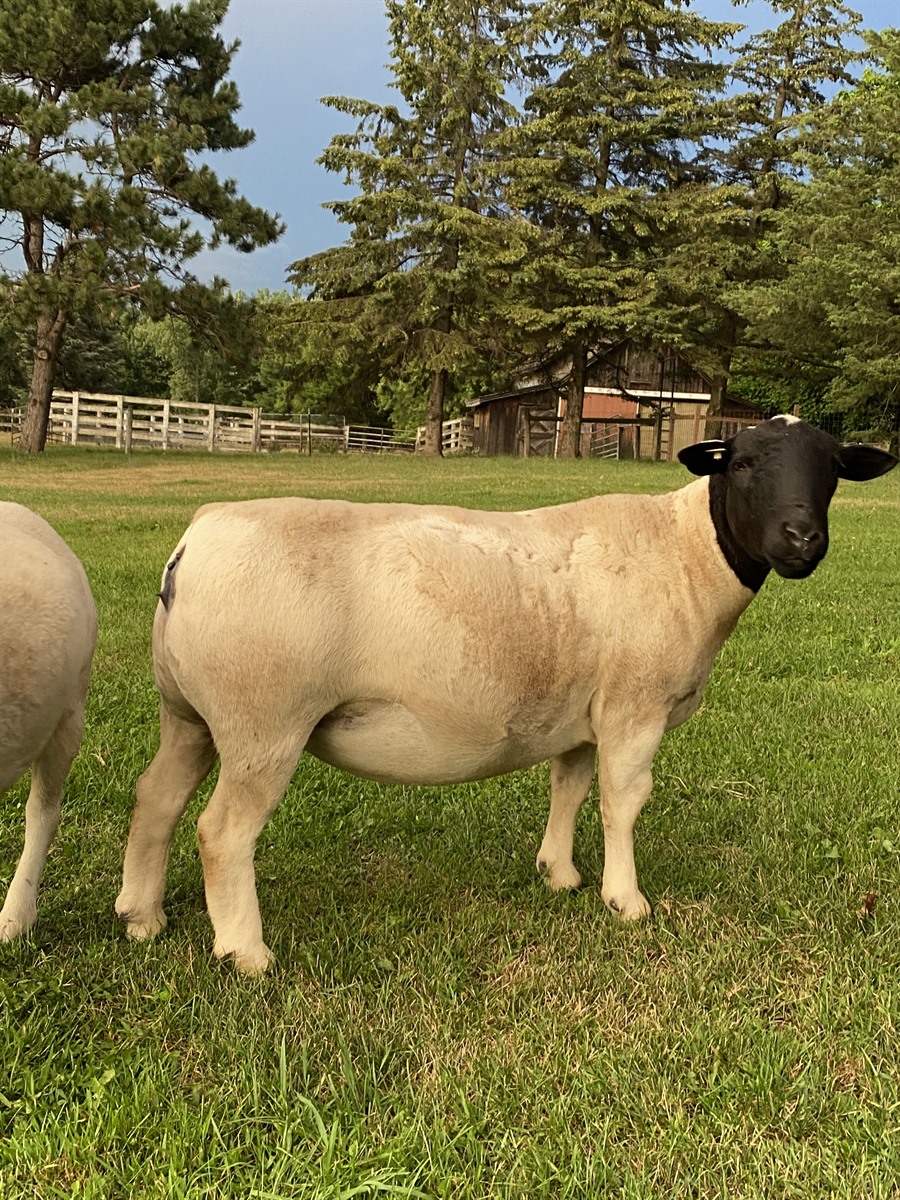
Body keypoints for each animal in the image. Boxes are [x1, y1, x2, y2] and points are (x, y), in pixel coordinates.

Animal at [115, 417, 897, 972]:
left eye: (833, 470)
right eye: (741, 464)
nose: (803, 539)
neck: (686, 553)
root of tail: (193, 542)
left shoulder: (582, 711)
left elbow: (569, 788)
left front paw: (560, 875)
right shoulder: (634, 707)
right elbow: (623, 801)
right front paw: (627, 902)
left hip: (189, 711)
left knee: (156, 797)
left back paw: (142, 919)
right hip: (263, 719)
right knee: (221, 832)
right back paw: (246, 954)